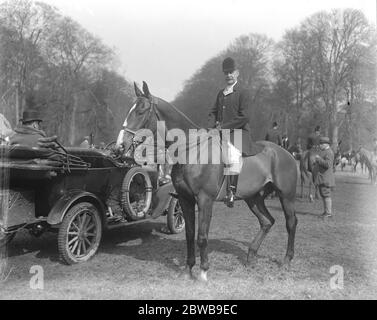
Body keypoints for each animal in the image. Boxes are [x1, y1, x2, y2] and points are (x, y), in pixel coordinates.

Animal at [119, 82, 298, 282]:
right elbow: (190, 235)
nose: (121, 145)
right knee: (267, 222)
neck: (191, 150)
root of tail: (285, 152)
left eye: (141, 111)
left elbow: (202, 236)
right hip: (253, 198)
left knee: (291, 223)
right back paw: (251, 257)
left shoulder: (205, 200)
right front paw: (188, 269)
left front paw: (203, 272)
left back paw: (287, 261)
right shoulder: (185, 199)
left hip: (286, 196)